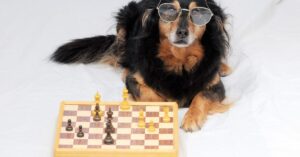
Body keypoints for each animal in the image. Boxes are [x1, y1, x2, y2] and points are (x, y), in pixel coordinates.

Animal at [51, 0, 231, 132]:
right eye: (169, 11)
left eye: (199, 14)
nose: (182, 32)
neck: (178, 60)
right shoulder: (135, 80)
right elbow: (149, 95)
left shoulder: (215, 85)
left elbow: (201, 96)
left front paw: (191, 118)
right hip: (124, 19)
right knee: (122, 55)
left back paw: (223, 67)